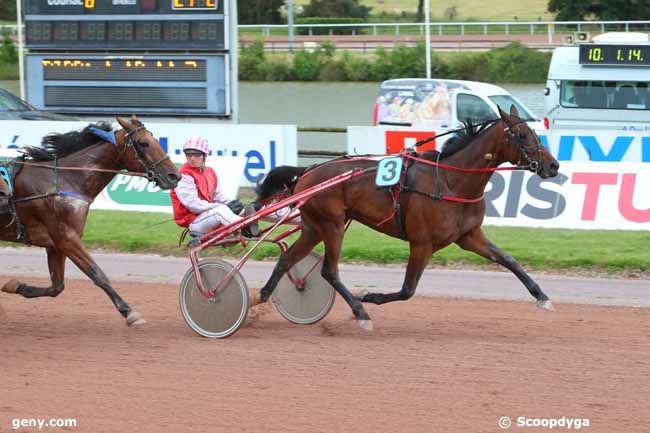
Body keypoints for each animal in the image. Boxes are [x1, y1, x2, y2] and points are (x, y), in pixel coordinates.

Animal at [0, 115, 180, 324]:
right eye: (144, 143)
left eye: (156, 140)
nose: (174, 176)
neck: (64, 180)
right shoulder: (67, 238)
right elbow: (97, 273)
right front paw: (129, 312)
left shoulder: (56, 243)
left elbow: (56, 287)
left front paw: (15, 285)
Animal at [256, 106, 560, 330]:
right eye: (521, 134)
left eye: (534, 132)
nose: (553, 165)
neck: (450, 182)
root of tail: (306, 172)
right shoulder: (422, 244)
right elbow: (407, 290)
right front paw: (370, 297)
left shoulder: (469, 236)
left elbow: (509, 260)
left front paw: (542, 297)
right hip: (332, 226)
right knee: (328, 271)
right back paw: (360, 311)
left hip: (314, 227)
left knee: (287, 258)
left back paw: (264, 295)